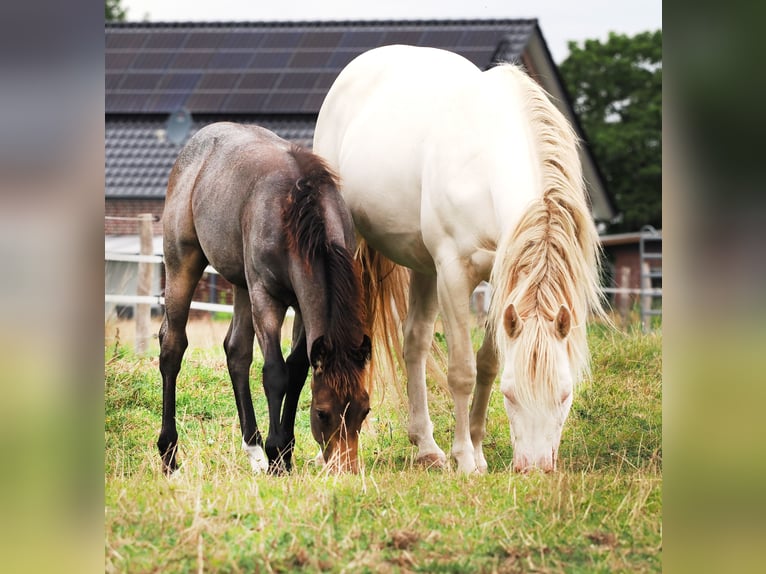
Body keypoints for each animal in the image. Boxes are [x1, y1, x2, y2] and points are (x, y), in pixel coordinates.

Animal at [157, 122, 371, 475]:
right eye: (323, 412)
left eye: (364, 410)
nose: (346, 470)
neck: (297, 212)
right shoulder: (266, 297)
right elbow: (275, 372)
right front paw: (277, 454)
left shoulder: (303, 306)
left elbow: (297, 370)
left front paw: (283, 453)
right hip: (182, 265)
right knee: (172, 346)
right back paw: (169, 455)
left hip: (242, 285)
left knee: (236, 352)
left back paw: (254, 450)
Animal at [313, 45, 605, 474]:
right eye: (511, 395)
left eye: (565, 395)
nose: (534, 468)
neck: (487, 160)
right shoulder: (453, 273)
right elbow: (463, 370)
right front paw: (466, 458)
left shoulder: (501, 281)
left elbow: (487, 364)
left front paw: (478, 452)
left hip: (423, 268)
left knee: (414, 342)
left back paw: (426, 447)